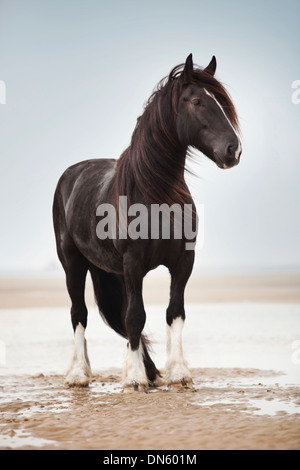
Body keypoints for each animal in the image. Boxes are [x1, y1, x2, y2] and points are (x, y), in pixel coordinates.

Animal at [52, 54, 241, 392]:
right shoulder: (133, 263)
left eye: (220, 102)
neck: (155, 195)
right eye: (197, 101)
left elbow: (173, 312)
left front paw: (178, 374)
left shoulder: (183, 262)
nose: (234, 150)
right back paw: (79, 374)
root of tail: (71, 174)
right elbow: (134, 317)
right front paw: (135, 379)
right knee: (79, 313)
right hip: (73, 263)